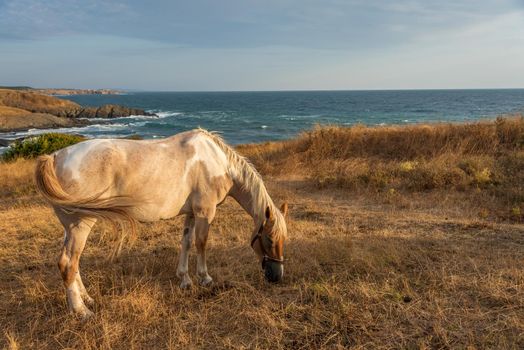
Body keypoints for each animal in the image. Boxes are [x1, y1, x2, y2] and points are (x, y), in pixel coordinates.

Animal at [34, 129, 288, 320]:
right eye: (269, 238)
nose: (277, 276)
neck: (218, 162)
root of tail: (56, 157)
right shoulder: (205, 212)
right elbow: (201, 243)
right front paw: (204, 278)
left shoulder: (192, 213)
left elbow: (186, 242)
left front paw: (184, 279)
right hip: (81, 225)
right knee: (68, 263)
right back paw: (81, 311)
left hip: (70, 228)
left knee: (72, 263)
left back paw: (86, 299)